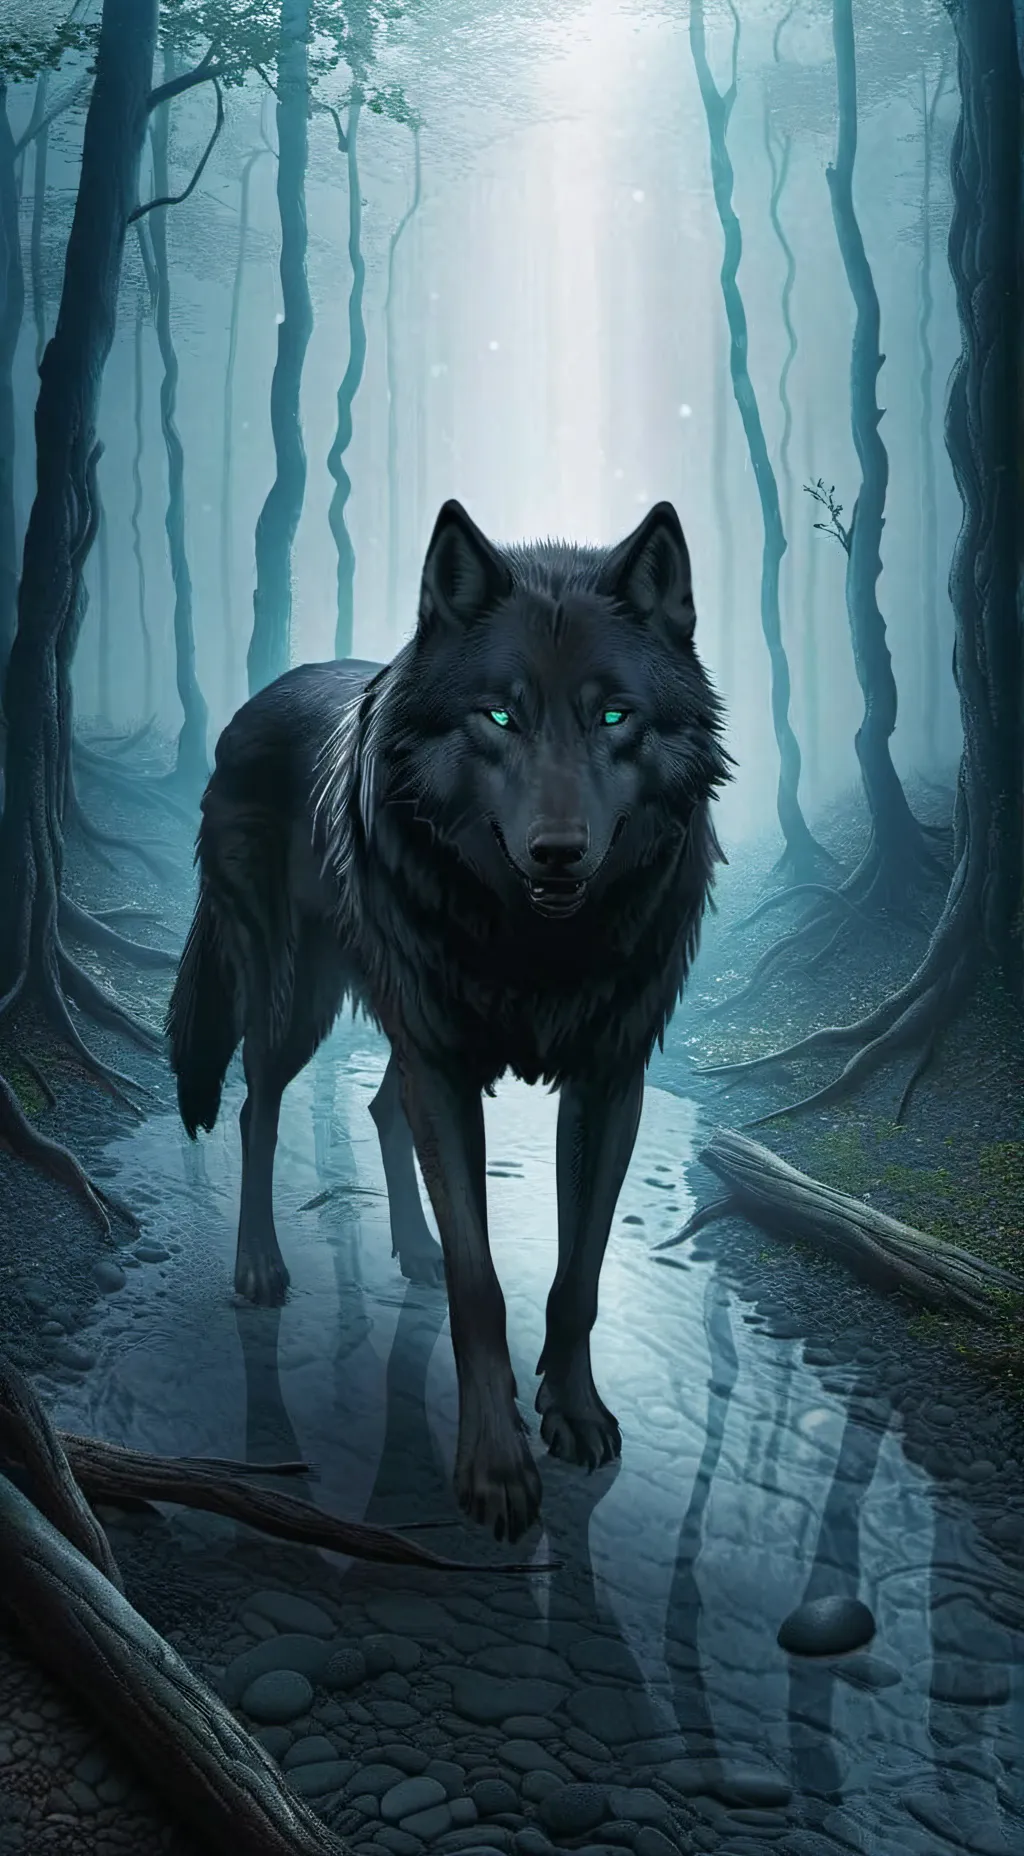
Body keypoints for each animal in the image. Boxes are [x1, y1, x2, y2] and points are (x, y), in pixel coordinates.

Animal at [166, 498, 730, 1542]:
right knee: (258, 1108)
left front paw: (574, 1413)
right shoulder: (443, 1060)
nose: (558, 854)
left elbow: (580, 1273)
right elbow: (481, 1284)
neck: (534, 944)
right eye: (500, 714)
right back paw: (260, 1267)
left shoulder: (609, 1078)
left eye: (615, 716)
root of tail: (251, 707)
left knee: (379, 1108)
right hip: (295, 999)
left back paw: (413, 1249)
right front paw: (495, 1470)